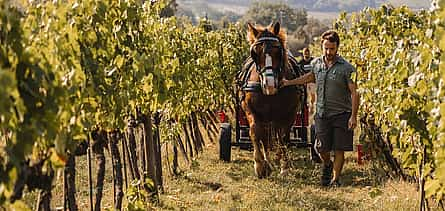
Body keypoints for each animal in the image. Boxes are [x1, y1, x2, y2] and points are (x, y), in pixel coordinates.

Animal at [238, 22, 304, 178]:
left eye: (278, 51)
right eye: (255, 53)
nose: (269, 84)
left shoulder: (289, 113)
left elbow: (283, 137)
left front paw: (285, 167)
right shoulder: (250, 109)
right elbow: (256, 133)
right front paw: (260, 165)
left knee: (276, 138)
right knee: (266, 139)